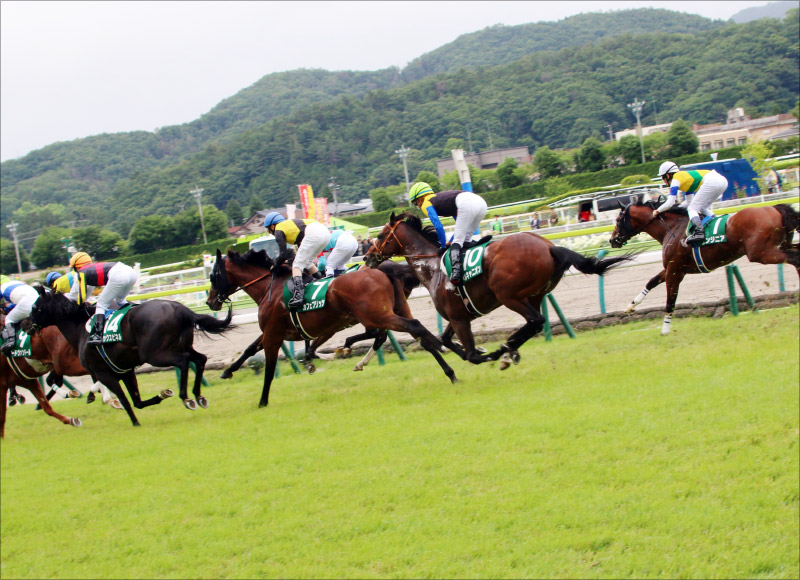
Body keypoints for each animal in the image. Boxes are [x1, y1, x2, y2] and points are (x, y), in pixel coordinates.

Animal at [31, 292, 231, 428]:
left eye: (35, 307)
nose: (27, 325)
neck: (82, 330)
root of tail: (180, 309)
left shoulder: (104, 374)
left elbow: (125, 400)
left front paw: (135, 422)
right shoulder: (126, 372)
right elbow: (137, 402)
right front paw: (162, 394)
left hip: (155, 354)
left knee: (183, 362)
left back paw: (186, 397)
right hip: (182, 346)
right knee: (200, 359)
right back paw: (198, 395)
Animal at [206, 248, 456, 408]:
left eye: (212, 275)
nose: (210, 302)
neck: (271, 288)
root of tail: (381, 270)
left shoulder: (273, 334)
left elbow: (269, 368)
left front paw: (262, 401)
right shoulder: (274, 332)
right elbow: (250, 349)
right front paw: (227, 371)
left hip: (377, 314)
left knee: (410, 329)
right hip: (394, 310)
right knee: (409, 332)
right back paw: (450, 371)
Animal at [366, 212, 636, 368]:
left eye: (379, 235)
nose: (368, 257)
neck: (433, 268)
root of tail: (549, 247)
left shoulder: (459, 318)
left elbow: (472, 355)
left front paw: (490, 352)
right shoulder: (459, 315)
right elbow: (446, 340)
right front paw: (489, 350)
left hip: (508, 295)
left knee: (536, 321)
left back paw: (506, 349)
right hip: (534, 295)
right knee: (535, 322)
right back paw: (510, 349)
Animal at [608, 201, 796, 334]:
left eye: (617, 220)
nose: (612, 240)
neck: (672, 229)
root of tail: (774, 209)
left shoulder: (674, 271)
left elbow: (670, 301)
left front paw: (665, 330)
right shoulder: (675, 268)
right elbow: (652, 281)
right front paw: (632, 305)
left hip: (761, 253)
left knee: (795, 259)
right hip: (777, 247)